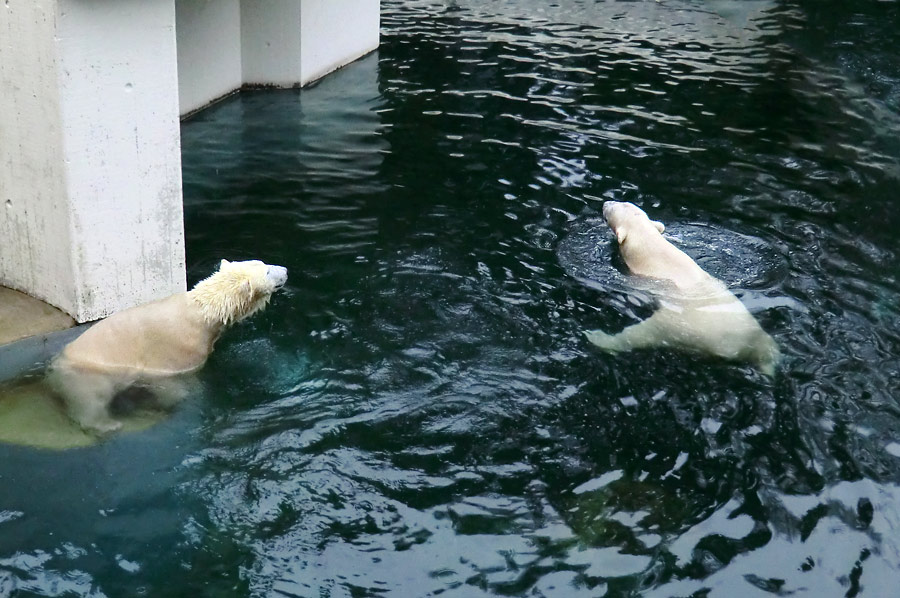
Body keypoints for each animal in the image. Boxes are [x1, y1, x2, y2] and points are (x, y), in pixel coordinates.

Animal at [47, 260, 286, 434]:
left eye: (263, 262)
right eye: (267, 271)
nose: (285, 269)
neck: (202, 312)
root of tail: (54, 369)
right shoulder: (179, 352)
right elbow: (176, 387)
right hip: (87, 376)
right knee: (92, 399)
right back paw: (108, 425)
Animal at [588, 204, 776, 378]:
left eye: (612, 210)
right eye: (624, 203)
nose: (606, 203)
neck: (654, 251)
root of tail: (747, 345)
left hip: (683, 328)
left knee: (642, 334)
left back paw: (597, 337)